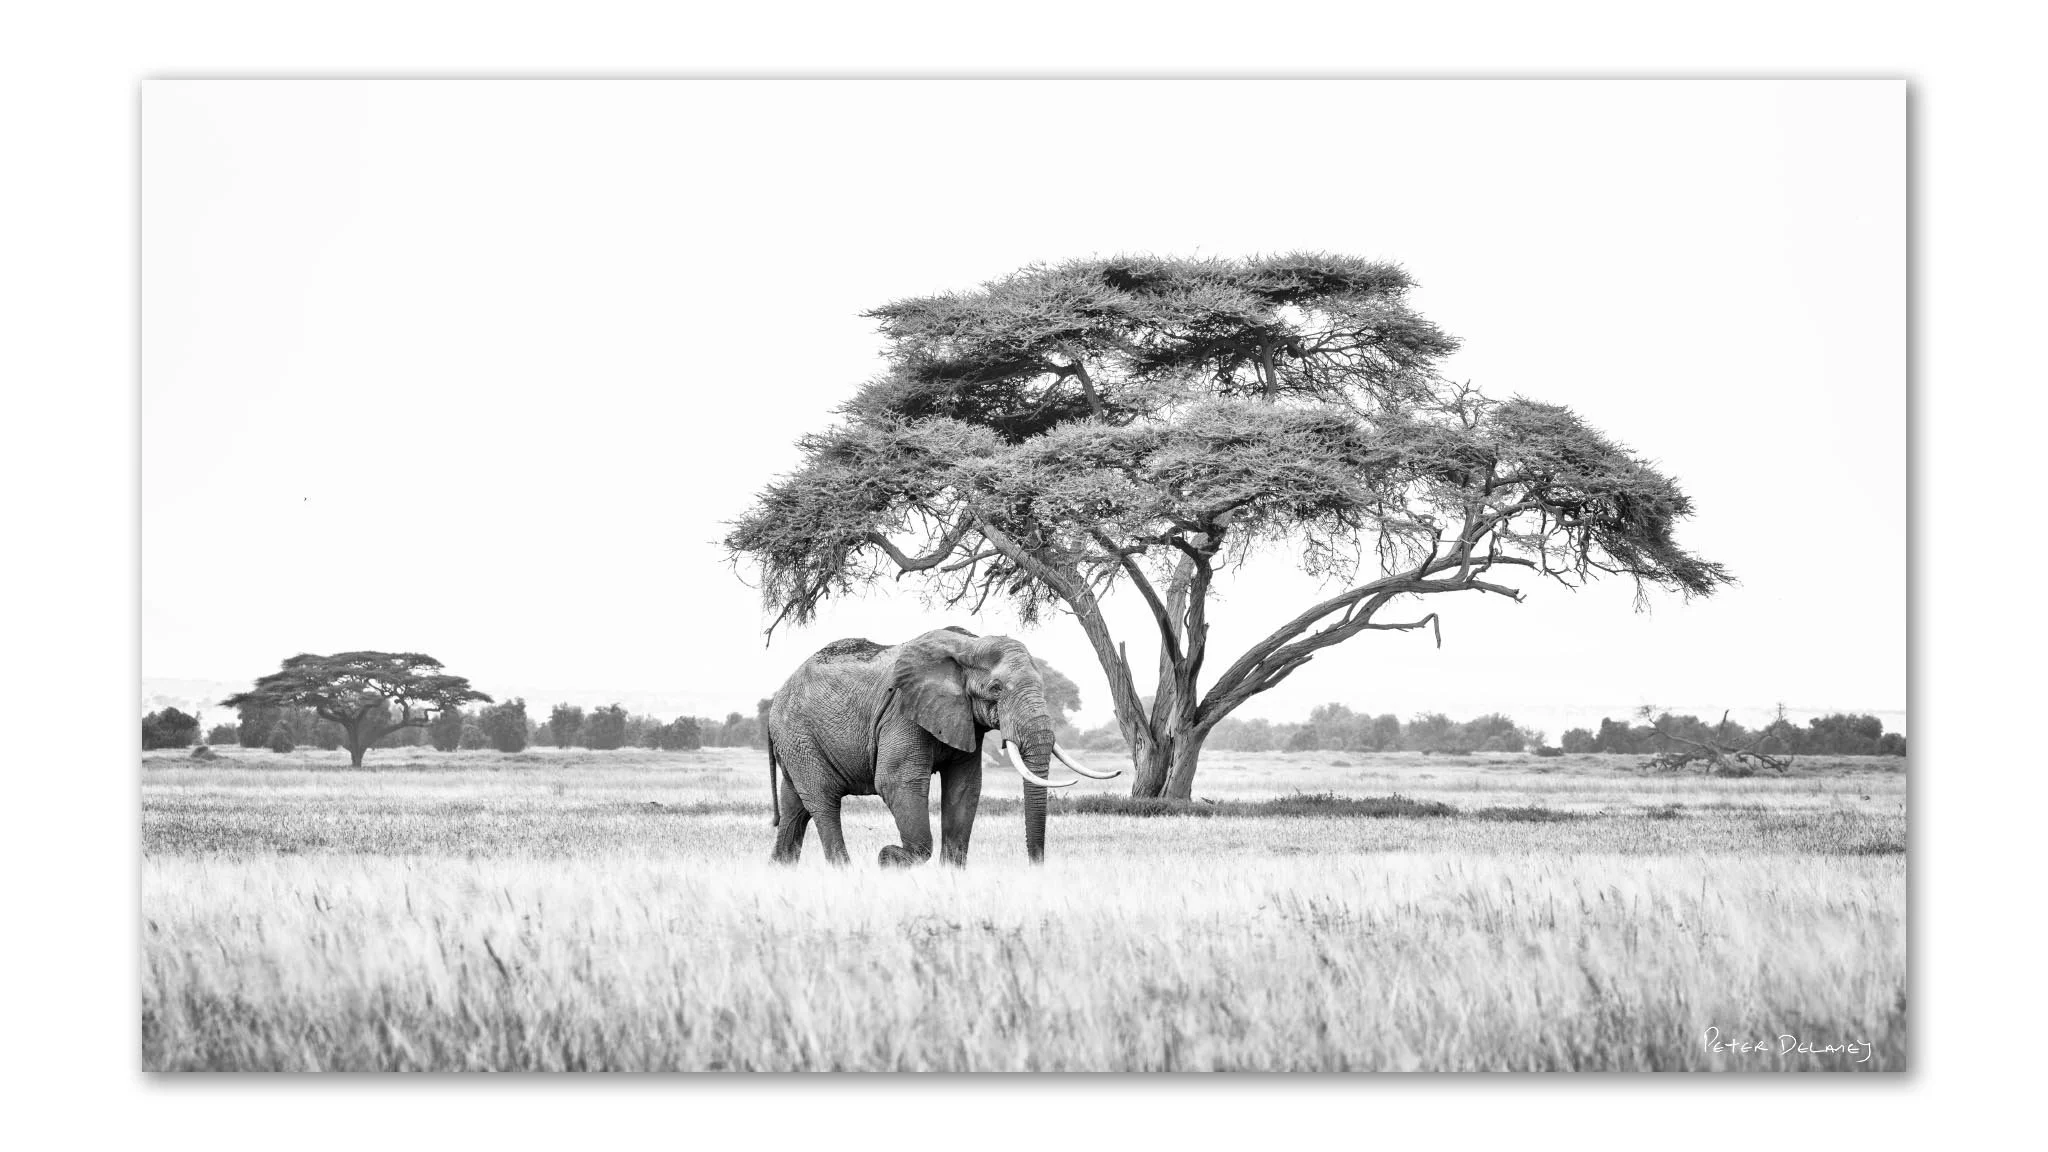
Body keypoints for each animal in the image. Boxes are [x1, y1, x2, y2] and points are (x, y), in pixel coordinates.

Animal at [765, 626, 1117, 867]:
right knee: (823, 801)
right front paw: (888, 857)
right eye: (996, 688)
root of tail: (778, 695)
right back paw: (845, 871)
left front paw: (950, 874)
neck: (969, 646)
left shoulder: (965, 719)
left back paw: (780, 870)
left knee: (795, 806)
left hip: (796, 742)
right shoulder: (902, 711)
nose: (1035, 866)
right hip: (799, 734)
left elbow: (964, 787)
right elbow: (897, 782)